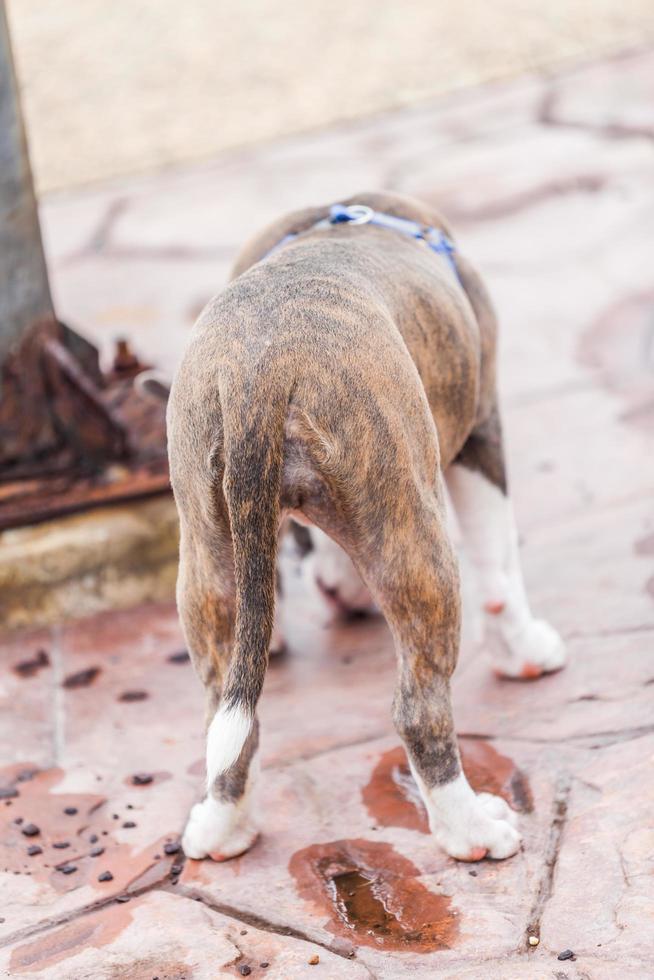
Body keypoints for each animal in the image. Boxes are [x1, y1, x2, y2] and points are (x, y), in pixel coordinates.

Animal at [169, 188, 568, 860]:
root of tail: (257, 371)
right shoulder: (480, 430)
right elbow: (499, 566)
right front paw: (525, 650)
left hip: (207, 554)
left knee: (226, 717)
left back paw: (223, 826)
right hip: (414, 539)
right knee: (418, 707)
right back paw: (470, 827)